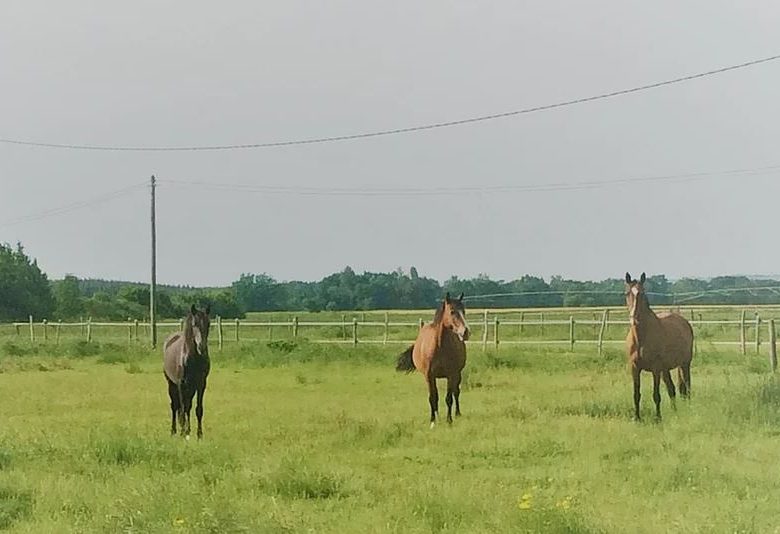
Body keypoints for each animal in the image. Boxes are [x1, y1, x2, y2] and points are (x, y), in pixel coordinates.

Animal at [162, 306, 210, 440]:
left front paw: (199, 434)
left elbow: (198, 409)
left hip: (191, 388)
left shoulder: (201, 384)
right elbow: (182, 408)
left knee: (188, 407)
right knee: (175, 406)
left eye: (208, 324)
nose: (201, 347)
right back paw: (174, 431)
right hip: (172, 384)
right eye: (194, 324)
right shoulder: (181, 385)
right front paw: (183, 433)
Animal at [396, 296, 470, 430]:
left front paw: (449, 420)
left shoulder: (451, 375)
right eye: (452, 311)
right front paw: (433, 421)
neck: (439, 346)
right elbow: (432, 398)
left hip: (458, 374)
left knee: (456, 392)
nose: (466, 332)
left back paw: (457, 414)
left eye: (464, 311)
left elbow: (449, 398)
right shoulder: (429, 376)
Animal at [624, 276, 692, 422]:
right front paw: (637, 418)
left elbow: (656, 394)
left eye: (642, 293)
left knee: (687, 386)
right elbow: (636, 394)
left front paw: (658, 418)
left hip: (684, 364)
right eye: (627, 293)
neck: (641, 338)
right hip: (665, 369)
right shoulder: (634, 367)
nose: (634, 319)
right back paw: (674, 411)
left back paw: (689, 407)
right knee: (672, 389)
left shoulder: (655, 368)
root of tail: (683, 321)